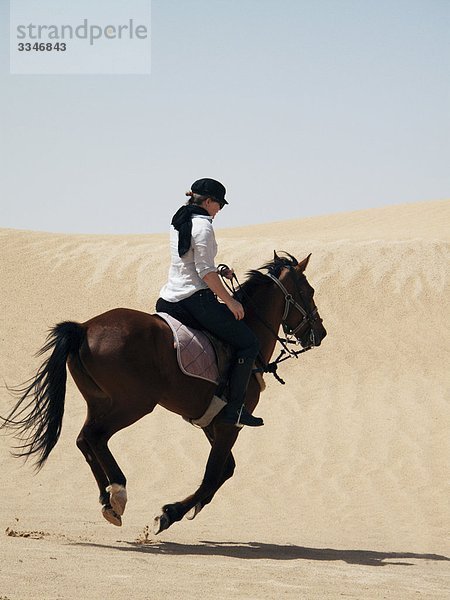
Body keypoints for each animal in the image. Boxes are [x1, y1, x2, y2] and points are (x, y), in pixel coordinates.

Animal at [2, 251, 326, 532]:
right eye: (309, 291)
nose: (321, 333)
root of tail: (84, 327)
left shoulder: (210, 422)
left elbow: (225, 470)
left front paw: (186, 508)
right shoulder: (229, 423)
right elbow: (212, 476)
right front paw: (170, 513)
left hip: (100, 402)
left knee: (85, 440)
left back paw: (107, 500)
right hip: (133, 404)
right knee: (95, 437)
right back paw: (118, 491)